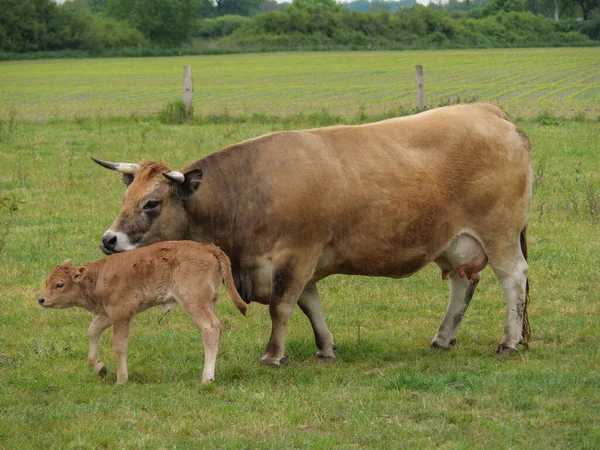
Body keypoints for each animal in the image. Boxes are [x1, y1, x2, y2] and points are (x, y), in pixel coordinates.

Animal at [38, 241, 248, 384]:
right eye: (48, 281)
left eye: (59, 284)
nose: (42, 299)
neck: (97, 277)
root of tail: (208, 248)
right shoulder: (108, 314)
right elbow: (92, 331)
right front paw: (100, 367)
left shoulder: (121, 314)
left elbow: (119, 345)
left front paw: (121, 379)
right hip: (209, 302)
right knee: (216, 328)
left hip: (194, 302)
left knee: (210, 327)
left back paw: (206, 378)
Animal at [91, 103, 532, 368]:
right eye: (127, 197)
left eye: (151, 203)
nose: (109, 239)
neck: (248, 191)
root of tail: (489, 111)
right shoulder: (301, 263)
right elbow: (310, 306)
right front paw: (325, 349)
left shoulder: (294, 255)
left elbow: (281, 307)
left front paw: (273, 355)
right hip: (455, 242)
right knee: (463, 284)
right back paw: (443, 338)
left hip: (500, 235)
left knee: (513, 279)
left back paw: (509, 342)